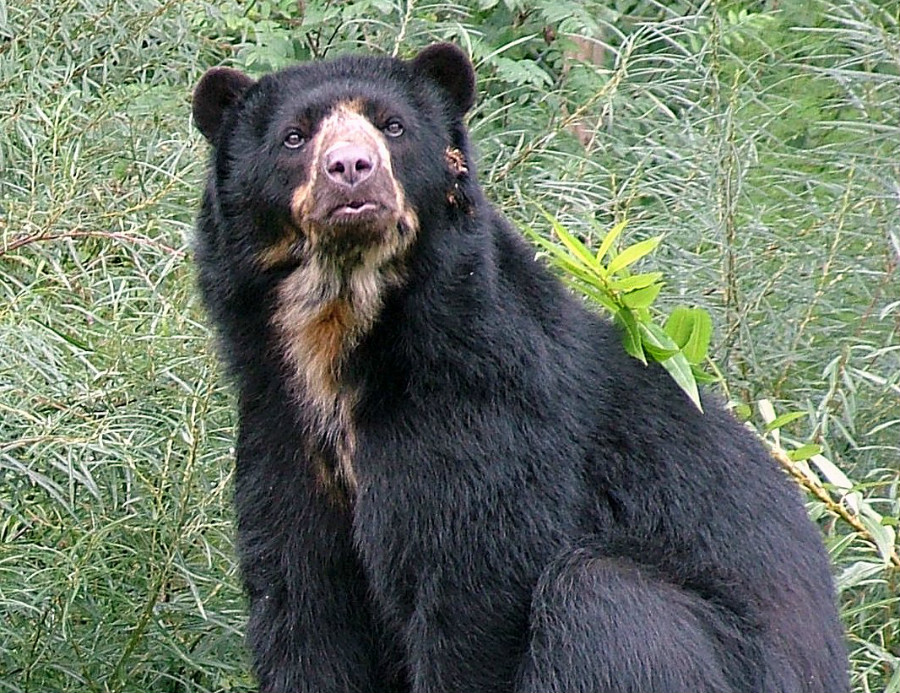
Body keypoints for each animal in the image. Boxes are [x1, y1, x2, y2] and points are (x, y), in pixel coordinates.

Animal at [191, 43, 849, 693]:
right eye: (294, 137)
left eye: (393, 126)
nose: (352, 168)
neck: (341, 340)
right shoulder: (284, 443)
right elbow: (303, 610)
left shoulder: (491, 426)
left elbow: (475, 595)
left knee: (606, 602)